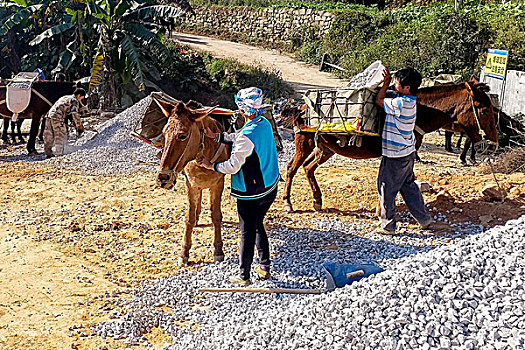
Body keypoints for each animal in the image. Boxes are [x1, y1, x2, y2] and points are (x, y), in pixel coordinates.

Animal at [156, 100, 229, 264]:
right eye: (164, 134)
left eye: (182, 135)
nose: (163, 178)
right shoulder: (191, 183)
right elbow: (188, 218)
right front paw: (184, 252)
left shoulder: (218, 183)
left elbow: (216, 216)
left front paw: (218, 250)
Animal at [282, 80, 496, 211]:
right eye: (485, 111)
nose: (494, 142)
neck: (420, 111)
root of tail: (301, 107)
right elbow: (389, 180)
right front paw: (382, 209)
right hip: (304, 144)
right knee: (292, 168)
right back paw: (288, 203)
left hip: (325, 148)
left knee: (308, 168)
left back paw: (317, 201)